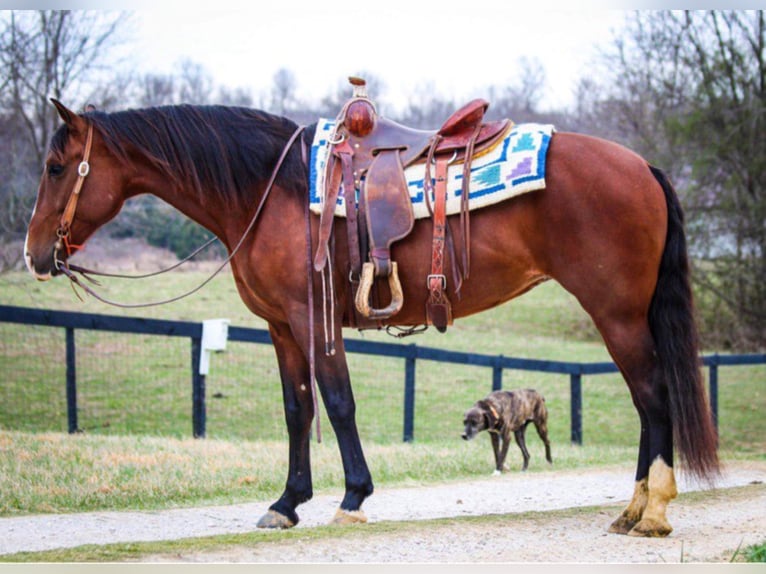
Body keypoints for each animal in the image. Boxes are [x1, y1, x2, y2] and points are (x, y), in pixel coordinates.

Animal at [24, 98, 720, 540]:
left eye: (56, 168)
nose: (34, 255)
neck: (266, 190)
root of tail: (643, 167)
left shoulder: (314, 319)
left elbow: (337, 404)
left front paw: (353, 496)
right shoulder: (282, 327)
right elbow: (297, 410)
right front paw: (287, 503)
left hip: (616, 314)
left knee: (654, 399)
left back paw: (653, 513)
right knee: (648, 404)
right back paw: (631, 511)